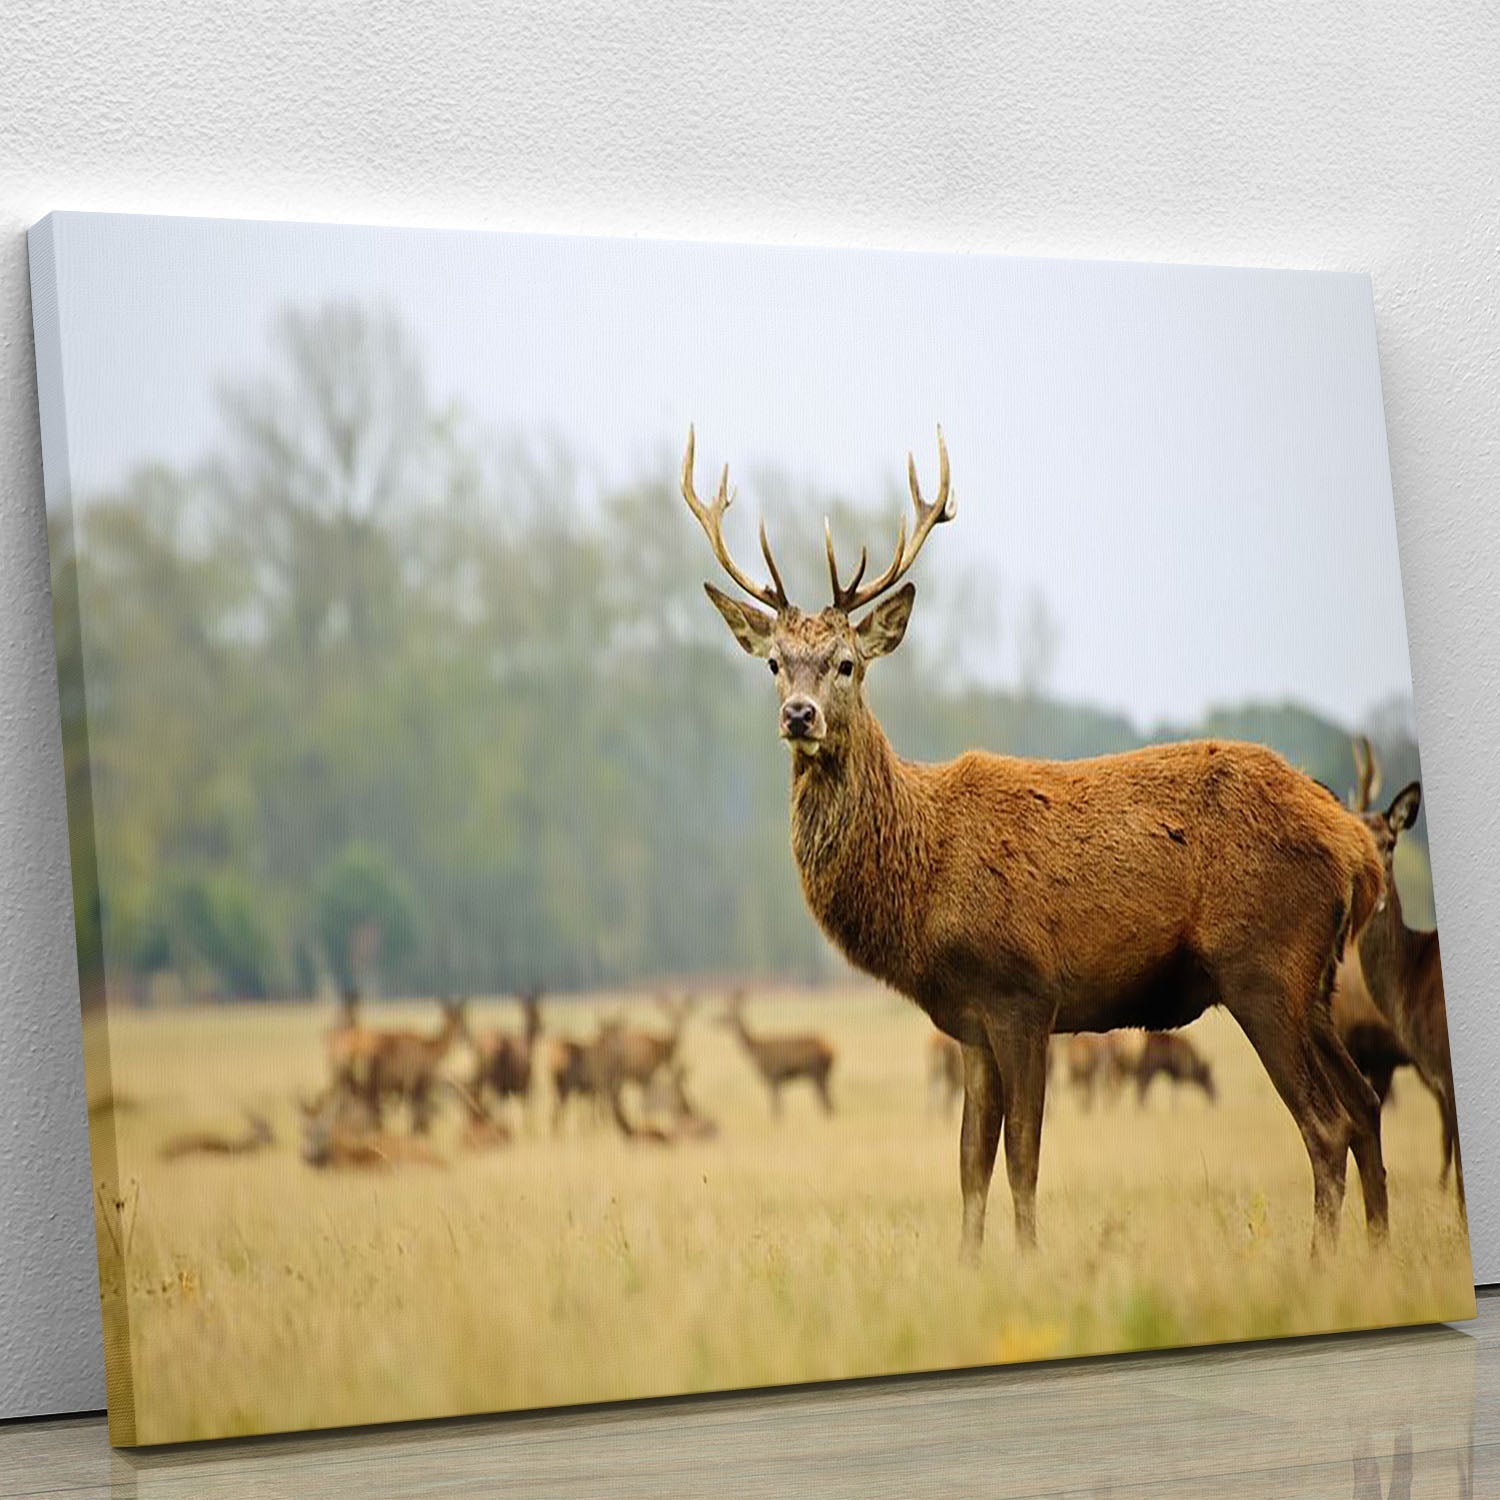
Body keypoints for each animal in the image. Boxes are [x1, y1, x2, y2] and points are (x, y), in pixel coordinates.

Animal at [681, 424, 1388, 1258]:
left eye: (846, 663)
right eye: (773, 662)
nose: (799, 714)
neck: (923, 878)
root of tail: (1358, 848)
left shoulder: (1025, 991)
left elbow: (1021, 1155)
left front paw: (1028, 1261)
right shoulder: (968, 1019)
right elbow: (969, 1162)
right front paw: (969, 1265)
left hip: (1263, 964)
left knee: (1327, 1123)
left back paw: (1321, 1264)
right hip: (1316, 981)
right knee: (1367, 1105)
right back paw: (1381, 1252)